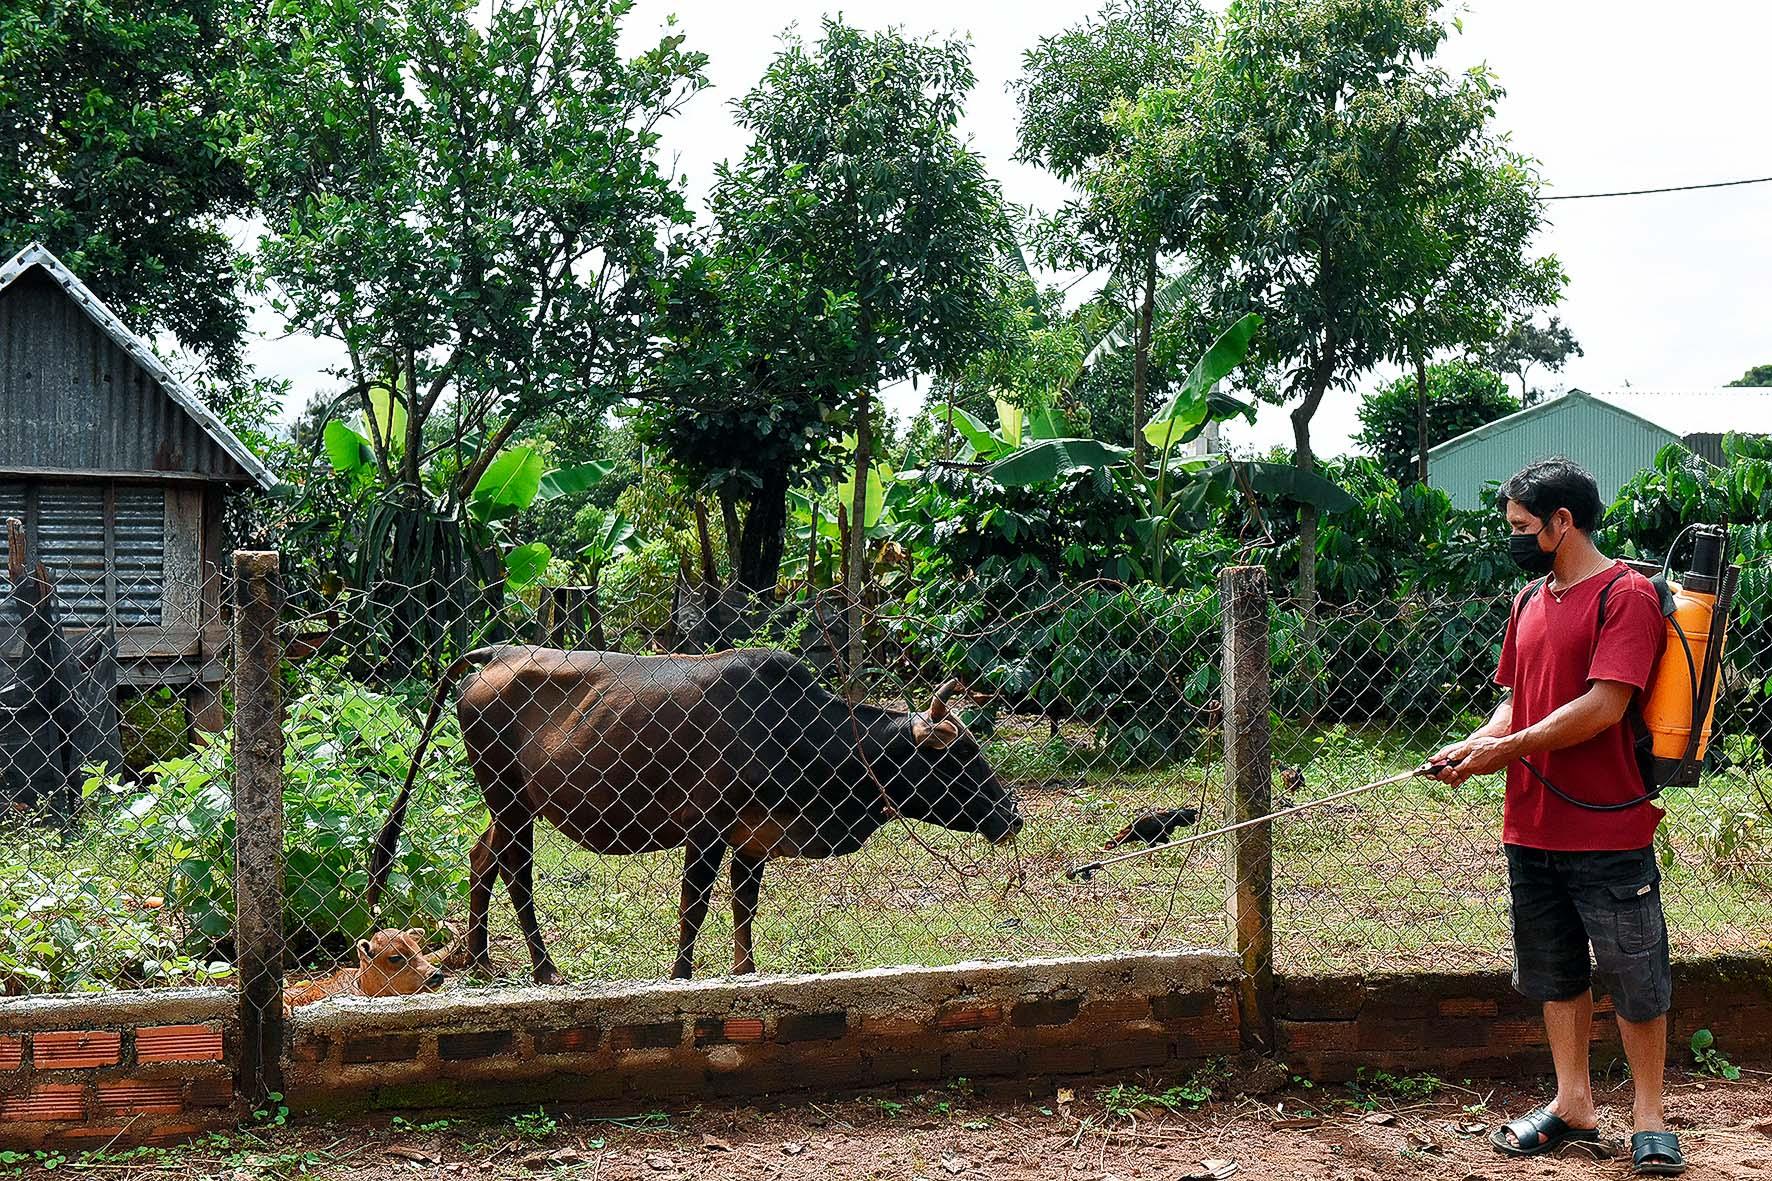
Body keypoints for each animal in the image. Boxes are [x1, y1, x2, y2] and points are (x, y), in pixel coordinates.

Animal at [366, 645, 1020, 971]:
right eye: (957, 758)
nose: (1011, 816)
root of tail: (498, 655)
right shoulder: (707, 830)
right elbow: (694, 910)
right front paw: (682, 977)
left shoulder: (753, 839)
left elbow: (743, 909)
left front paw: (745, 972)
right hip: (508, 798)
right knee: (516, 872)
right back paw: (539, 967)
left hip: (511, 803)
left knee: (484, 861)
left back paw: (479, 959)